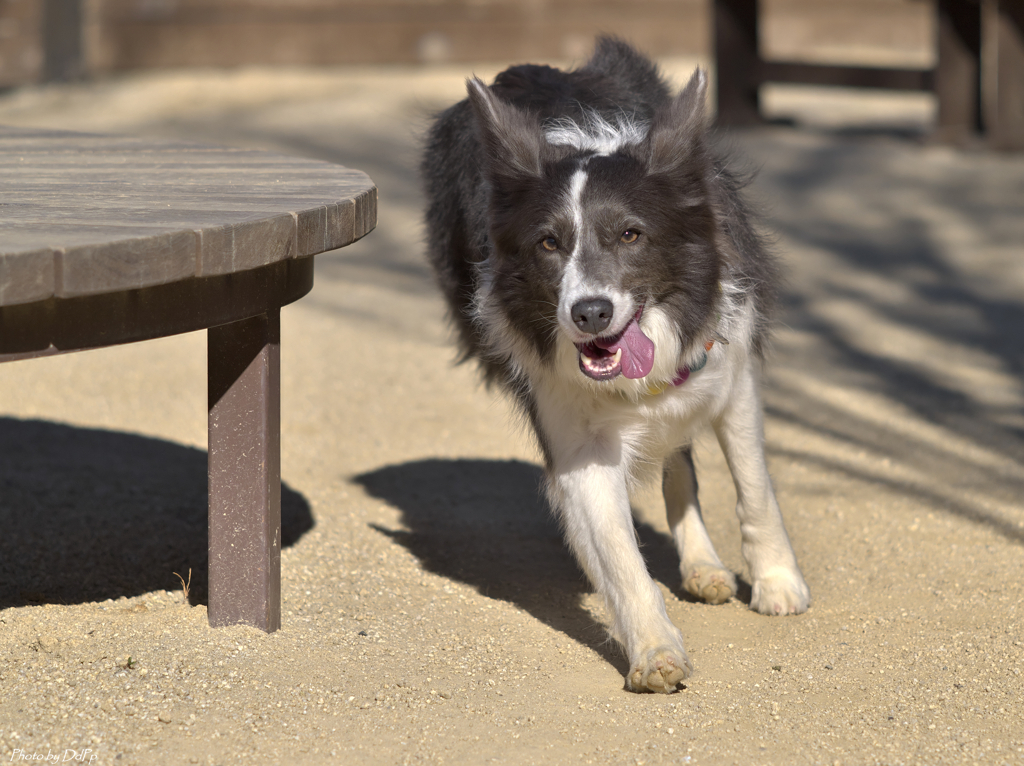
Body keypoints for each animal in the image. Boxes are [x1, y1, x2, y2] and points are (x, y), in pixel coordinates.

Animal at [419, 37, 811, 692]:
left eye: (631, 235)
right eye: (548, 243)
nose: (590, 313)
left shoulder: (731, 374)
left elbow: (754, 486)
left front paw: (778, 582)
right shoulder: (573, 435)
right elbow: (617, 549)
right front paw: (654, 649)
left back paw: (703, 564)